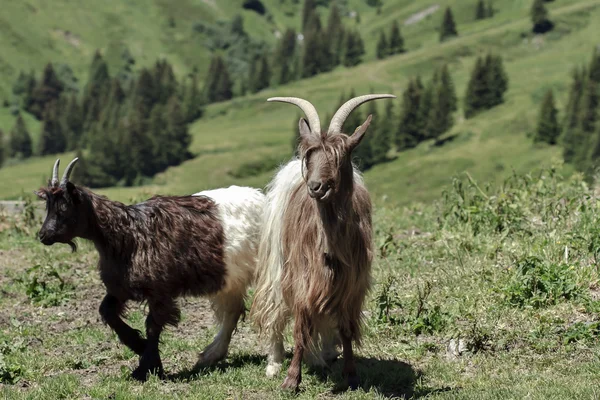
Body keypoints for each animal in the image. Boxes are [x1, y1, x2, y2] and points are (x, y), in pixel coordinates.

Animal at [34, 158, 264, 380]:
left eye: (64, 207)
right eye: (47, 206)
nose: (43, 235)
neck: (127, 235)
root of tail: (262, 198)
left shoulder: (159, 290)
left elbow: (153, 325)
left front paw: (147, 367)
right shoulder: (120, 287)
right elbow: (106, 311)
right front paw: (138, 345)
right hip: (231, 278)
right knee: (232, 311)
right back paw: (210, 355)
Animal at [248, 94, 394, 390]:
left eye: (340, 156)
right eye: (310, 155)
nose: (316, 187)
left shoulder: (351, 284)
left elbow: (346, 328)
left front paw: (350, 374)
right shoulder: (303, 278)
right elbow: (300, 327)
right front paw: (291, 379)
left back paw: (321, 356)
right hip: (276, 263)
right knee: (276, 309)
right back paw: (275, 362)